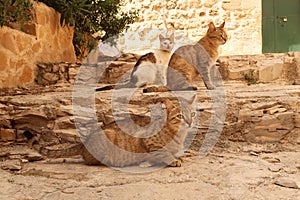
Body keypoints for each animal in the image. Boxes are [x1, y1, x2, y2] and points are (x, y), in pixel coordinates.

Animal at [38, 94, 197, 167]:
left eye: (193, 114)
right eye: (180, 116)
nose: (190, 122)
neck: (179, 135)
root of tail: (84, 143)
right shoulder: (149, 143)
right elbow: (164, 153)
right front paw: (173, 160)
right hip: (108, 136)